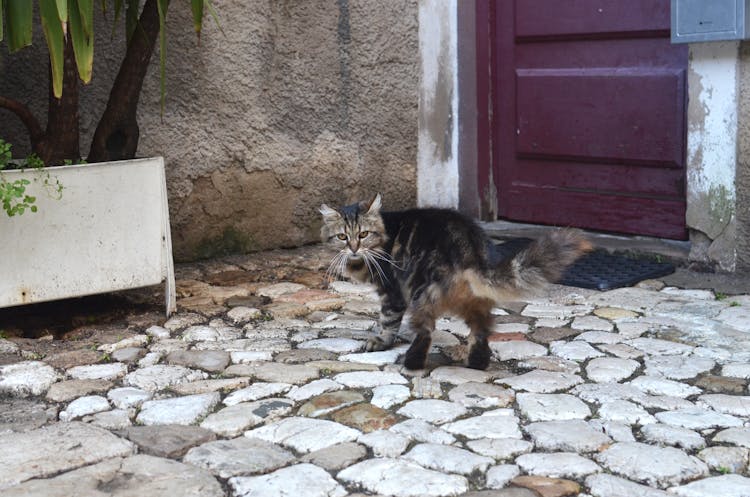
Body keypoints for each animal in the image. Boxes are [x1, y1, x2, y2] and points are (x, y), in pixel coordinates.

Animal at [320, 193, 592, 368]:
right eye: (342, 237)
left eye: (363, 234)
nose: (353, 248)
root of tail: (470, 245)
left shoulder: (392, 292)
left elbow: (387, 322)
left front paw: (380, 341)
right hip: (474, 300)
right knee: (481, 329)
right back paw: (476, 363)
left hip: (421, 293)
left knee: (427, 331)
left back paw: (412, 363)